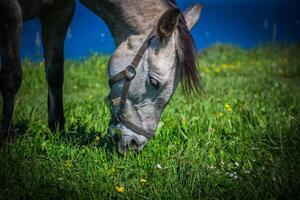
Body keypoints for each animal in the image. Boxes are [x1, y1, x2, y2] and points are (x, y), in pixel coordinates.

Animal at [0, 0, 203, 153]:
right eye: (154, 82)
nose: (135, 144)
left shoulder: (59, 12)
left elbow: (55, 73)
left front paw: (57, 131)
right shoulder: (11, 12)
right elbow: (12, 77)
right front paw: (6, 139)